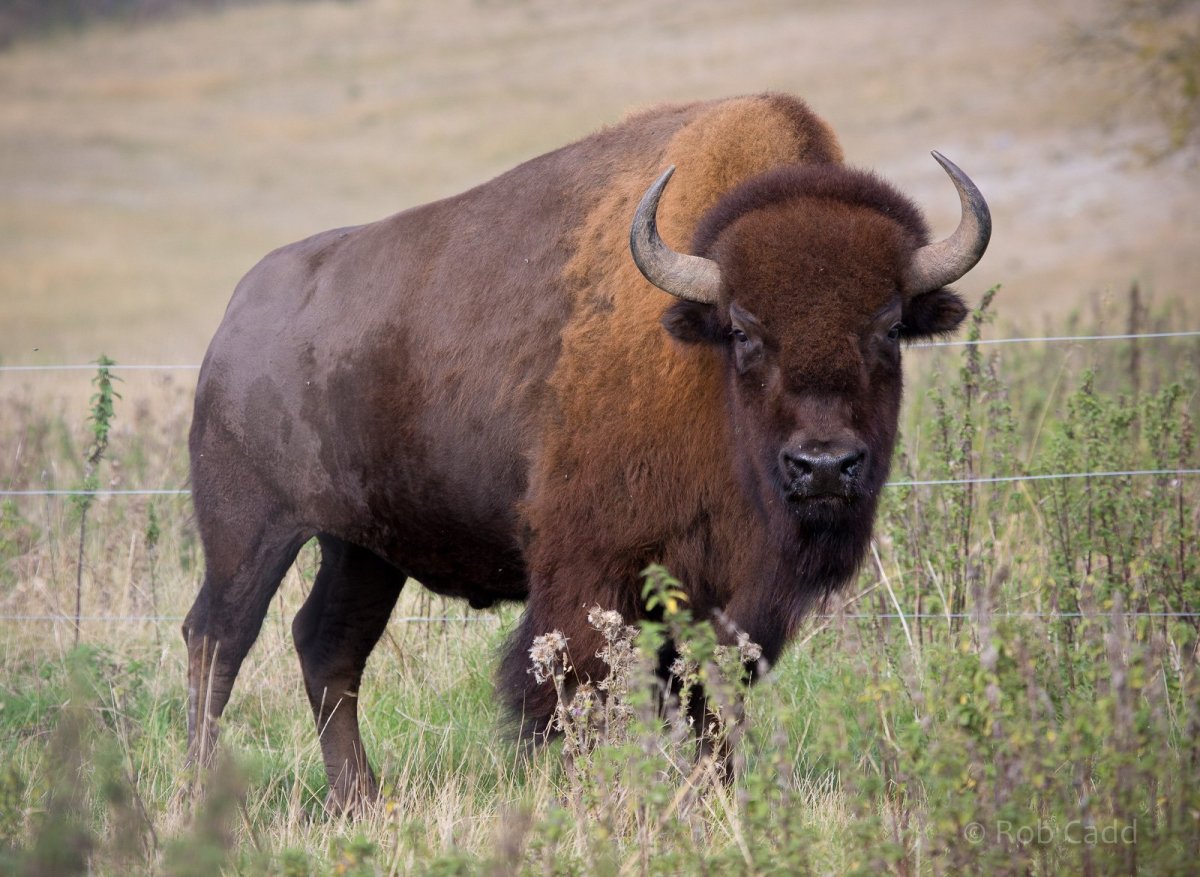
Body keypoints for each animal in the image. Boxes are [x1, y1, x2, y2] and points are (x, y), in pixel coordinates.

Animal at [183, 93, 990, 810]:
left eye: (890, 327)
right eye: (743, 330)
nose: (823, 466)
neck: (698, 358)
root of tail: (236, 314)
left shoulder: (734, 601)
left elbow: (709, 703)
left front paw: (717, 800)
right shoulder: (591, 575)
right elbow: (582, 697)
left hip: (362, 549)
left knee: (327, 647)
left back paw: (361, 803)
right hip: (249, 529)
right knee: (217, 639)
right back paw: (209, 800)